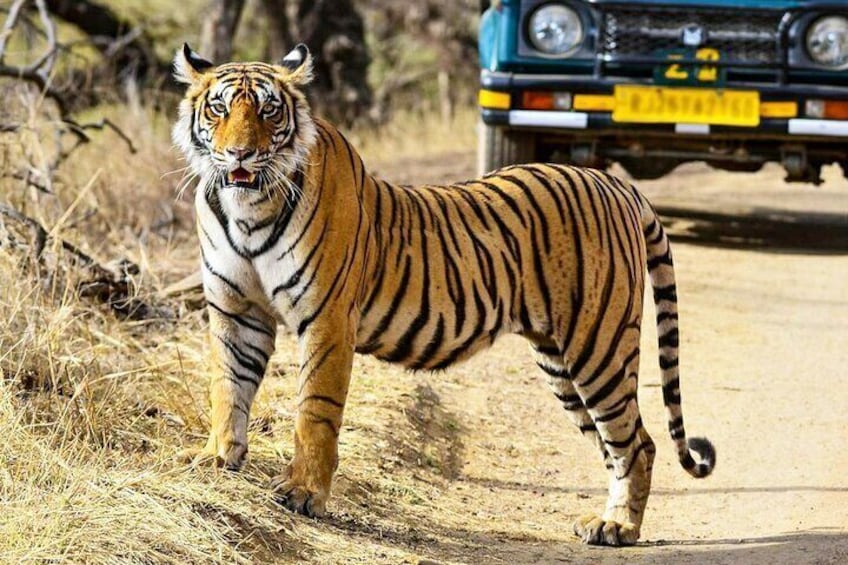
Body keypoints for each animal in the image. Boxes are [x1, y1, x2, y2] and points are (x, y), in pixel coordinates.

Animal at [172, 41, 716, 544]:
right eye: (219, 108)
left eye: (268, 110)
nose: (240, 154)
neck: (246, 208)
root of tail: (615, 184)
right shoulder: (236, 311)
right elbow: (228, 387)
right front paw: (216, 458)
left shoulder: (326, 318)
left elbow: (314, 410)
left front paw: (303, 493)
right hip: (561, 363)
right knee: (612, 443)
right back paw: (608, 519)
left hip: (599, 347)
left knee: (637, 443)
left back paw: (617, 526)